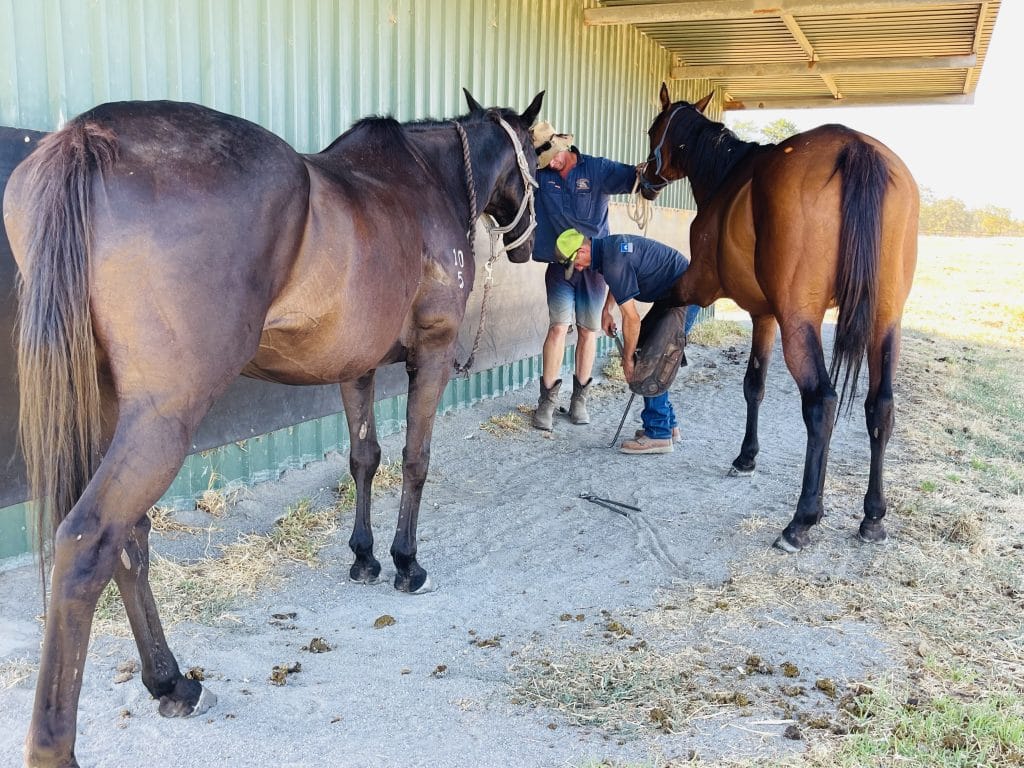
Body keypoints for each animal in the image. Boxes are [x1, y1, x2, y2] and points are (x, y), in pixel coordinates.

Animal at [3, 88, 543, 767]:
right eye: (538, 160)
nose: (532, 244)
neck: (428, 178)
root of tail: (85, 137)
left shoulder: (356, 366)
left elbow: (364, 457)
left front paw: (363, 557)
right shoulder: (436, 353)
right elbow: (415, 460)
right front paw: (405, 563)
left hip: (108, 407)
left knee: (130, 539)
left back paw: (171, 682)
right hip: (162, 418)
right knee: (87, 543)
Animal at [639, 83, 918, 554]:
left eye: (653, 130)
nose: (645, 181)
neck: (727, 176)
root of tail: (855, 147)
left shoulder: (701, 284)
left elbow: (661, 303)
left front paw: (647, 356)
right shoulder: (763, 315)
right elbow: (755, 385)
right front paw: (746, 457)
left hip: (799, 321)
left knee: (821, 403)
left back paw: (801, 521)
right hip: (885, 322)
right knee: (880, 407)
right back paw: (873, 517)